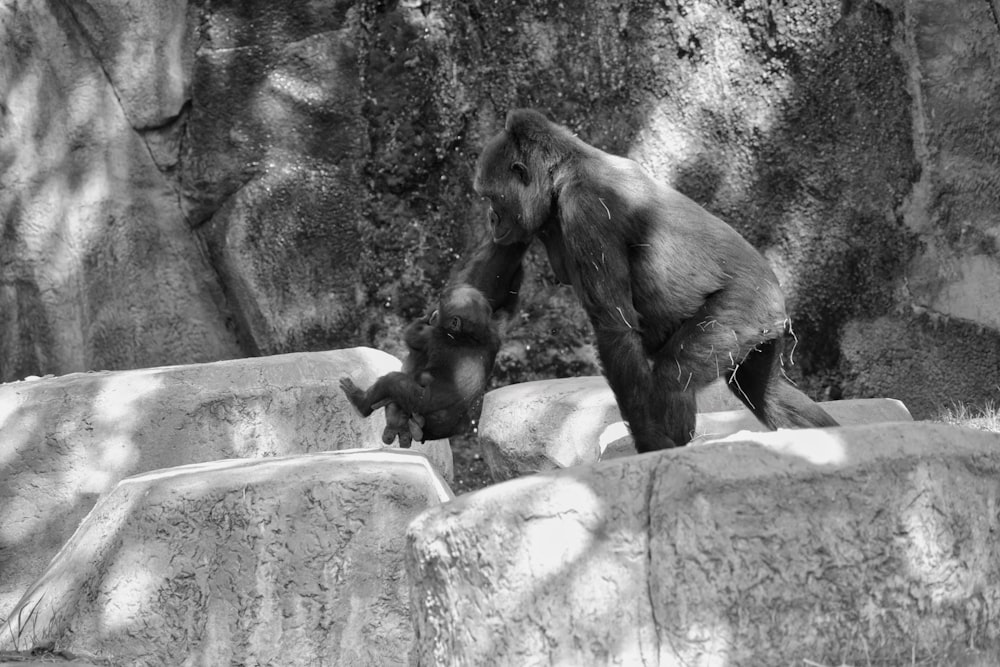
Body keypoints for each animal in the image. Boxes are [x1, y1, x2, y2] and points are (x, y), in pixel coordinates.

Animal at [342, 284, 500, 446]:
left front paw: (427, 314)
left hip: (418, 402)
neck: (469, 336)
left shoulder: (431, 335)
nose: (434, 315)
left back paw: (361, 402)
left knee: (394, 381)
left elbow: (412, 334)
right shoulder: (493, 336)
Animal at [462, 108, 836, 454]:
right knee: (767, 392)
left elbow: (616, 329)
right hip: (763, 327)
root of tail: (776, 293)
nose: (491, 219)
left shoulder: (587, 208)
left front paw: (651, 444)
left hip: (746, 306)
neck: (566, 165)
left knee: (675, 379)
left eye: (492, 198)